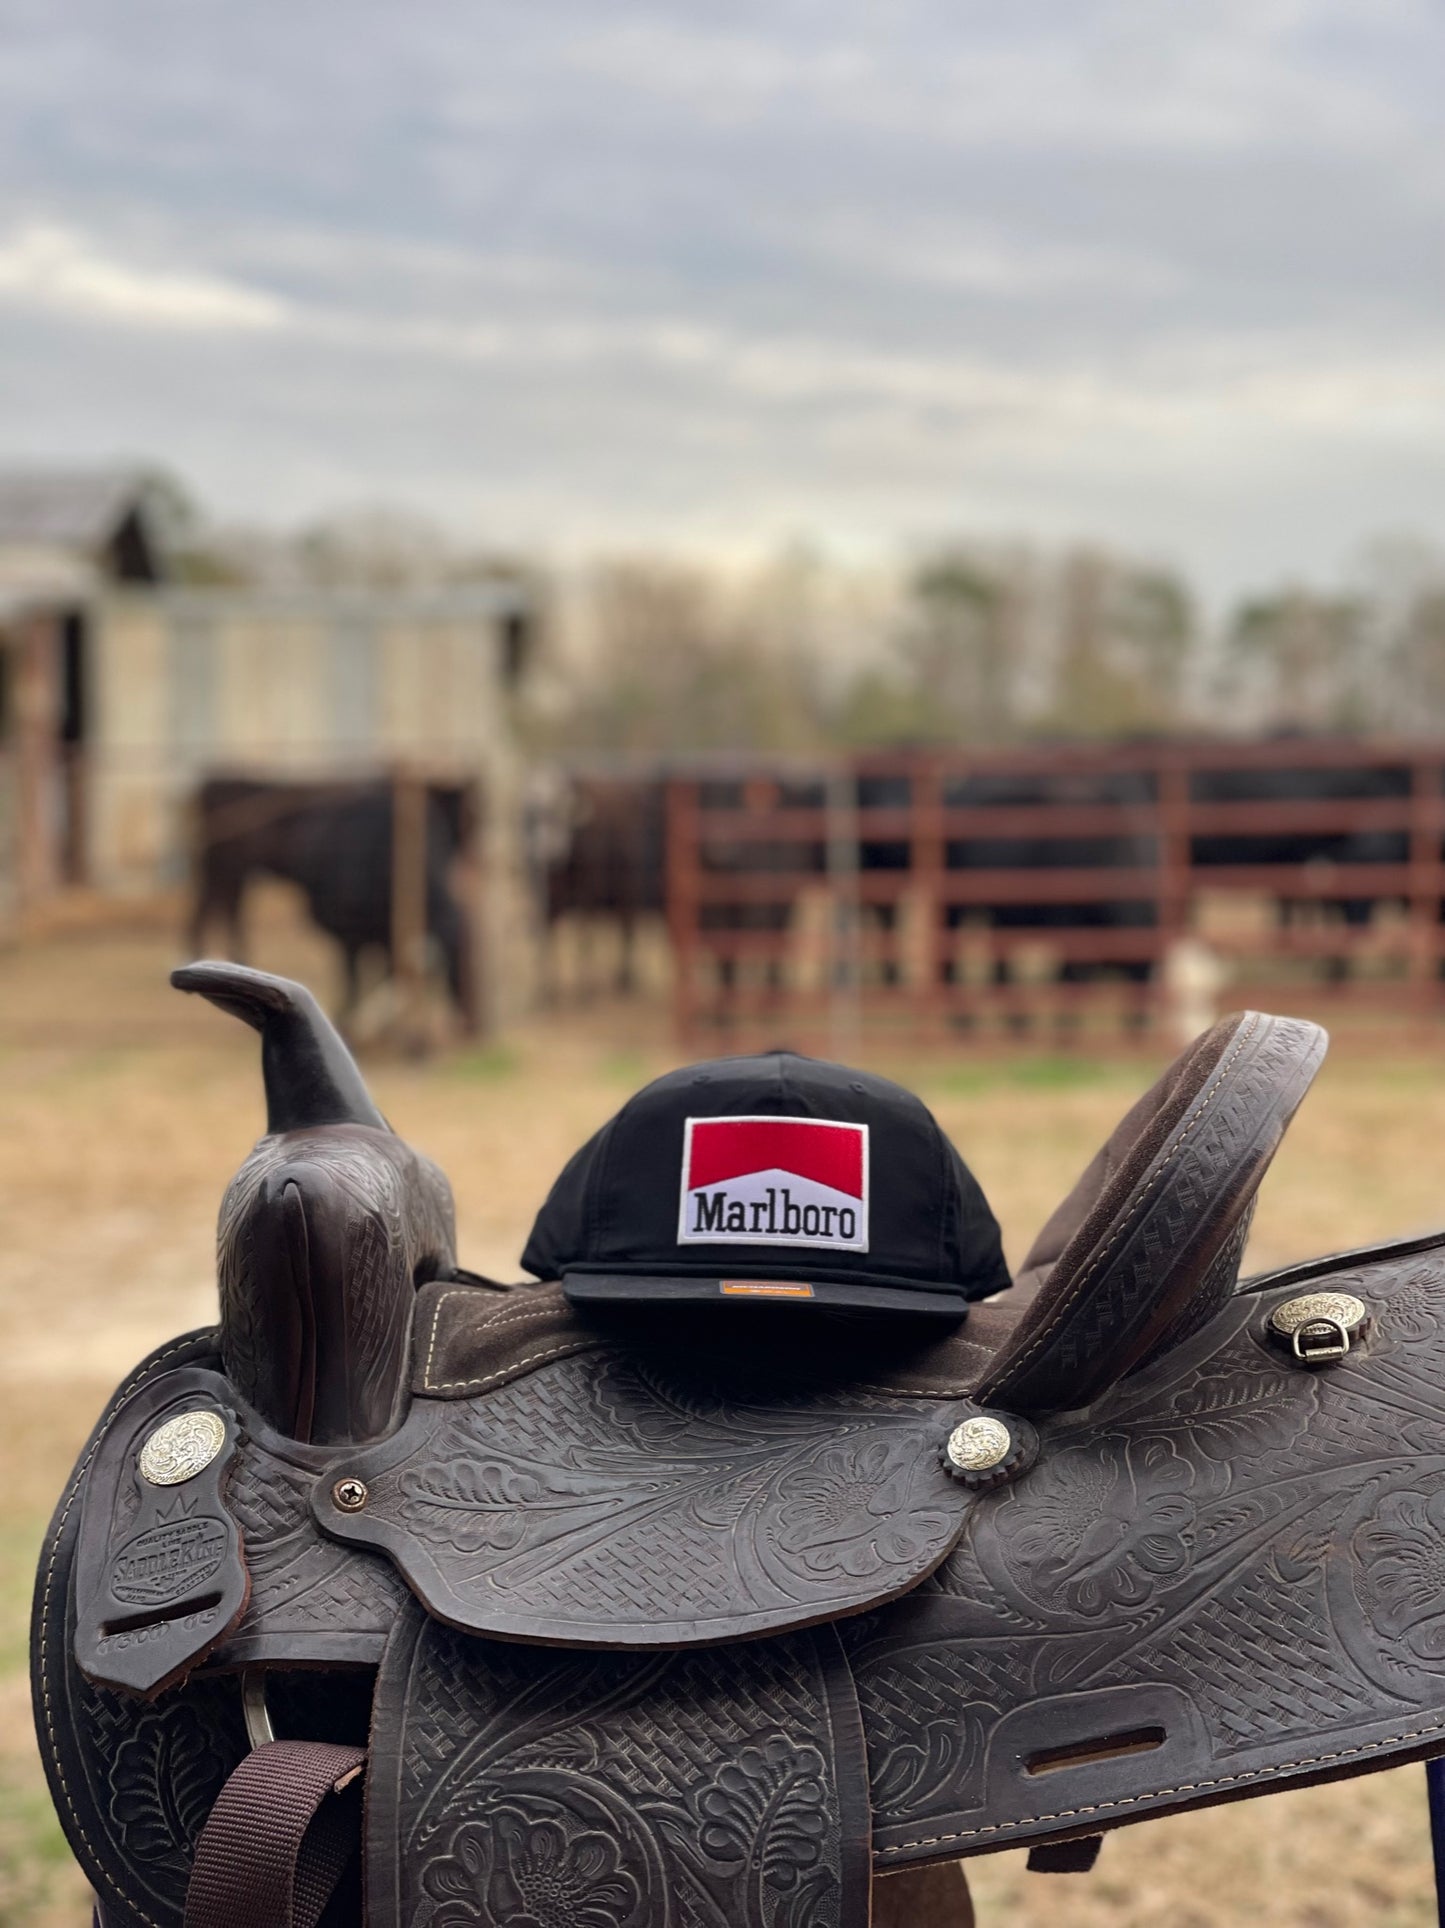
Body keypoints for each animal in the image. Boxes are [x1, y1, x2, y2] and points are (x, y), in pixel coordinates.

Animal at [186, 778, 476, 1033]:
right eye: (453, 961)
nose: (468, 1024)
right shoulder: (346, 926)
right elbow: (352, 976)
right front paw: (348, 1020)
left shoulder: (381, 931)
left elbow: (383, 969)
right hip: (221, 869)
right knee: (209, 908)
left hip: (233, 874)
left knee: (226, 909)